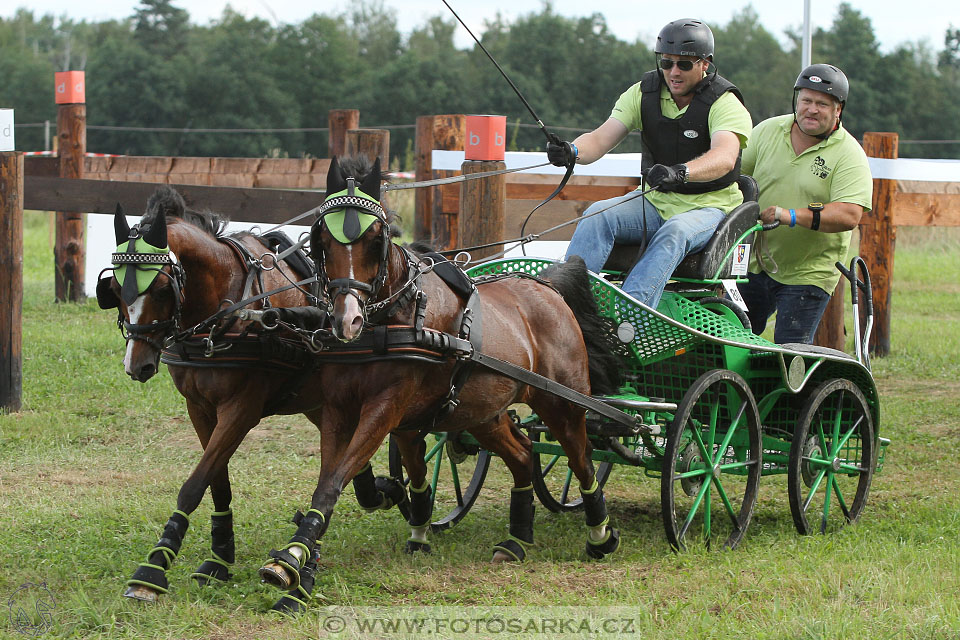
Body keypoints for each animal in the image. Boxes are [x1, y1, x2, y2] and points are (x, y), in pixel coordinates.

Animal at [94, 186, 402, 616]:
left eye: (159, 288)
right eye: (115, 288)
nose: (136, 363)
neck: (228, 310)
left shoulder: (242, 409)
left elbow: (194, 484)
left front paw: (152, 569)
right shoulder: (200, 408)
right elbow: (216, 481)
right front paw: (220, 557)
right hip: (317, 403)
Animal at [255, 156, 624, 596]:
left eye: (376, 239)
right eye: (321, 241)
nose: (348, 320)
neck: (394, 318)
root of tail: (547, 287)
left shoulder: (384, 410)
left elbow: (337, 479)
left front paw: (292, 559)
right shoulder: (341, 410)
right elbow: (335, 477)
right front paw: (307, 549)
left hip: (561, 403)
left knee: (582, 460)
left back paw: (600, 536)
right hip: (481, 413)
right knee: (522, 453)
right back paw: (515, 540)